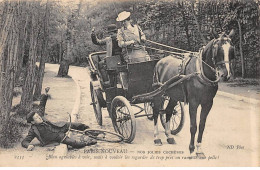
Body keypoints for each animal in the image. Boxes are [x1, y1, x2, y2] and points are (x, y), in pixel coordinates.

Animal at [152, 29, 236, 157]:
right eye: (218, 50)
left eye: (231, 50)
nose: (225, 75)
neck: (201, 73)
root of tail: (160, 61)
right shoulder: (193, 103)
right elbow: (193, 126)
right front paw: (191, 149)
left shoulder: (208, 104)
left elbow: (201, 126)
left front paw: (199, 149)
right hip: (159, 94)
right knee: (156, 112)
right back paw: (156, 137)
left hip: (173, 96)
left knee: (168, 111)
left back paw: (169, 136)